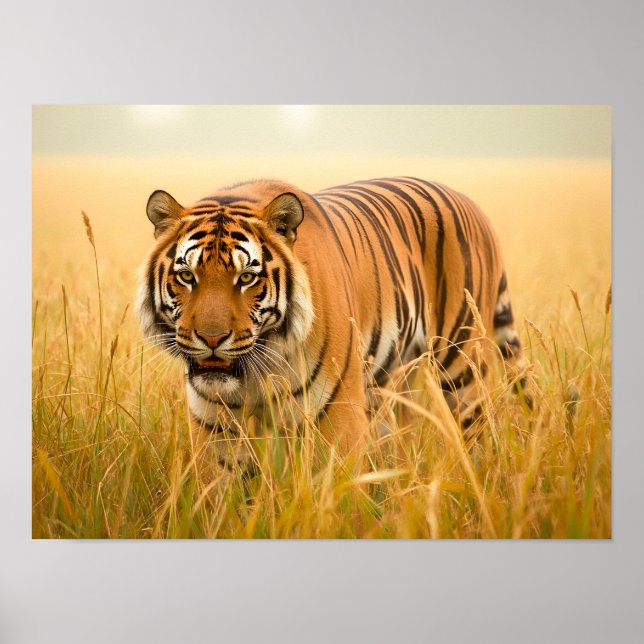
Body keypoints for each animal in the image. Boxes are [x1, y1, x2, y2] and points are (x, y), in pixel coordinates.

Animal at [136, 177, 527, 471]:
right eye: (187, 276)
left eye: (246, 278)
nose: (212, 338)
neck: (255, 369)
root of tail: (475, 206)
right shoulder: (212, 422)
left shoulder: (338, 411)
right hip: (397, 382)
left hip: (462, 364)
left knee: (478, 431)